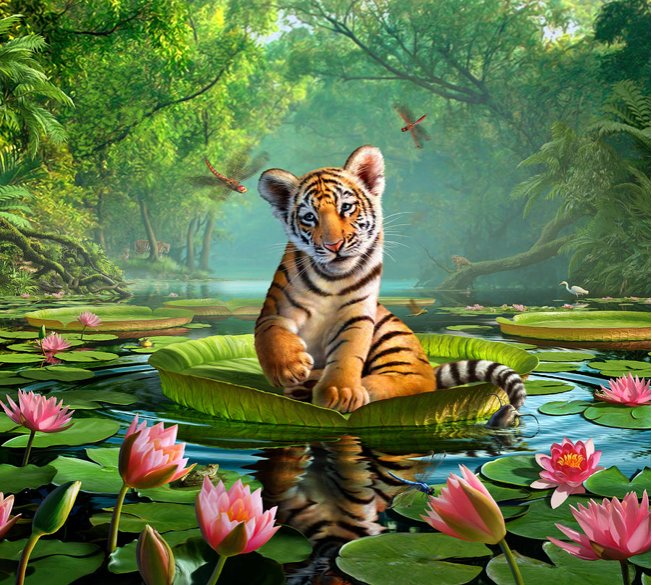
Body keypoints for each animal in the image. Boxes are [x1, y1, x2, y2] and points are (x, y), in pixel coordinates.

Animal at [255, 145, 525, 414]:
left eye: (346, 207)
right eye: (310, 217)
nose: (334, 245)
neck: (332, 279)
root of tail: (431, 367)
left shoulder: (357, 315)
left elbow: (348, 352)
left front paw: (340, 392)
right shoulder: (274, 310)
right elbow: (271, 334)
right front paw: (289, 368)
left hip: (393, 338)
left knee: (414, 382)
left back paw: (355, 387)